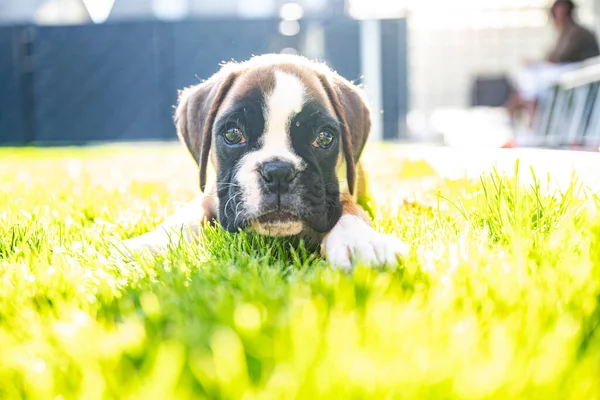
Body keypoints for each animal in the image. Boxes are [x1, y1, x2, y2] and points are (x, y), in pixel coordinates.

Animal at [124, 53, 410, 270]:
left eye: (324, 137)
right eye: (232, 134)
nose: (278, 172)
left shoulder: (339, 193)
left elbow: (350, 211)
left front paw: (361, 240)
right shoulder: (210, 196)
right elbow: (182, 219)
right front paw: (148, 244)